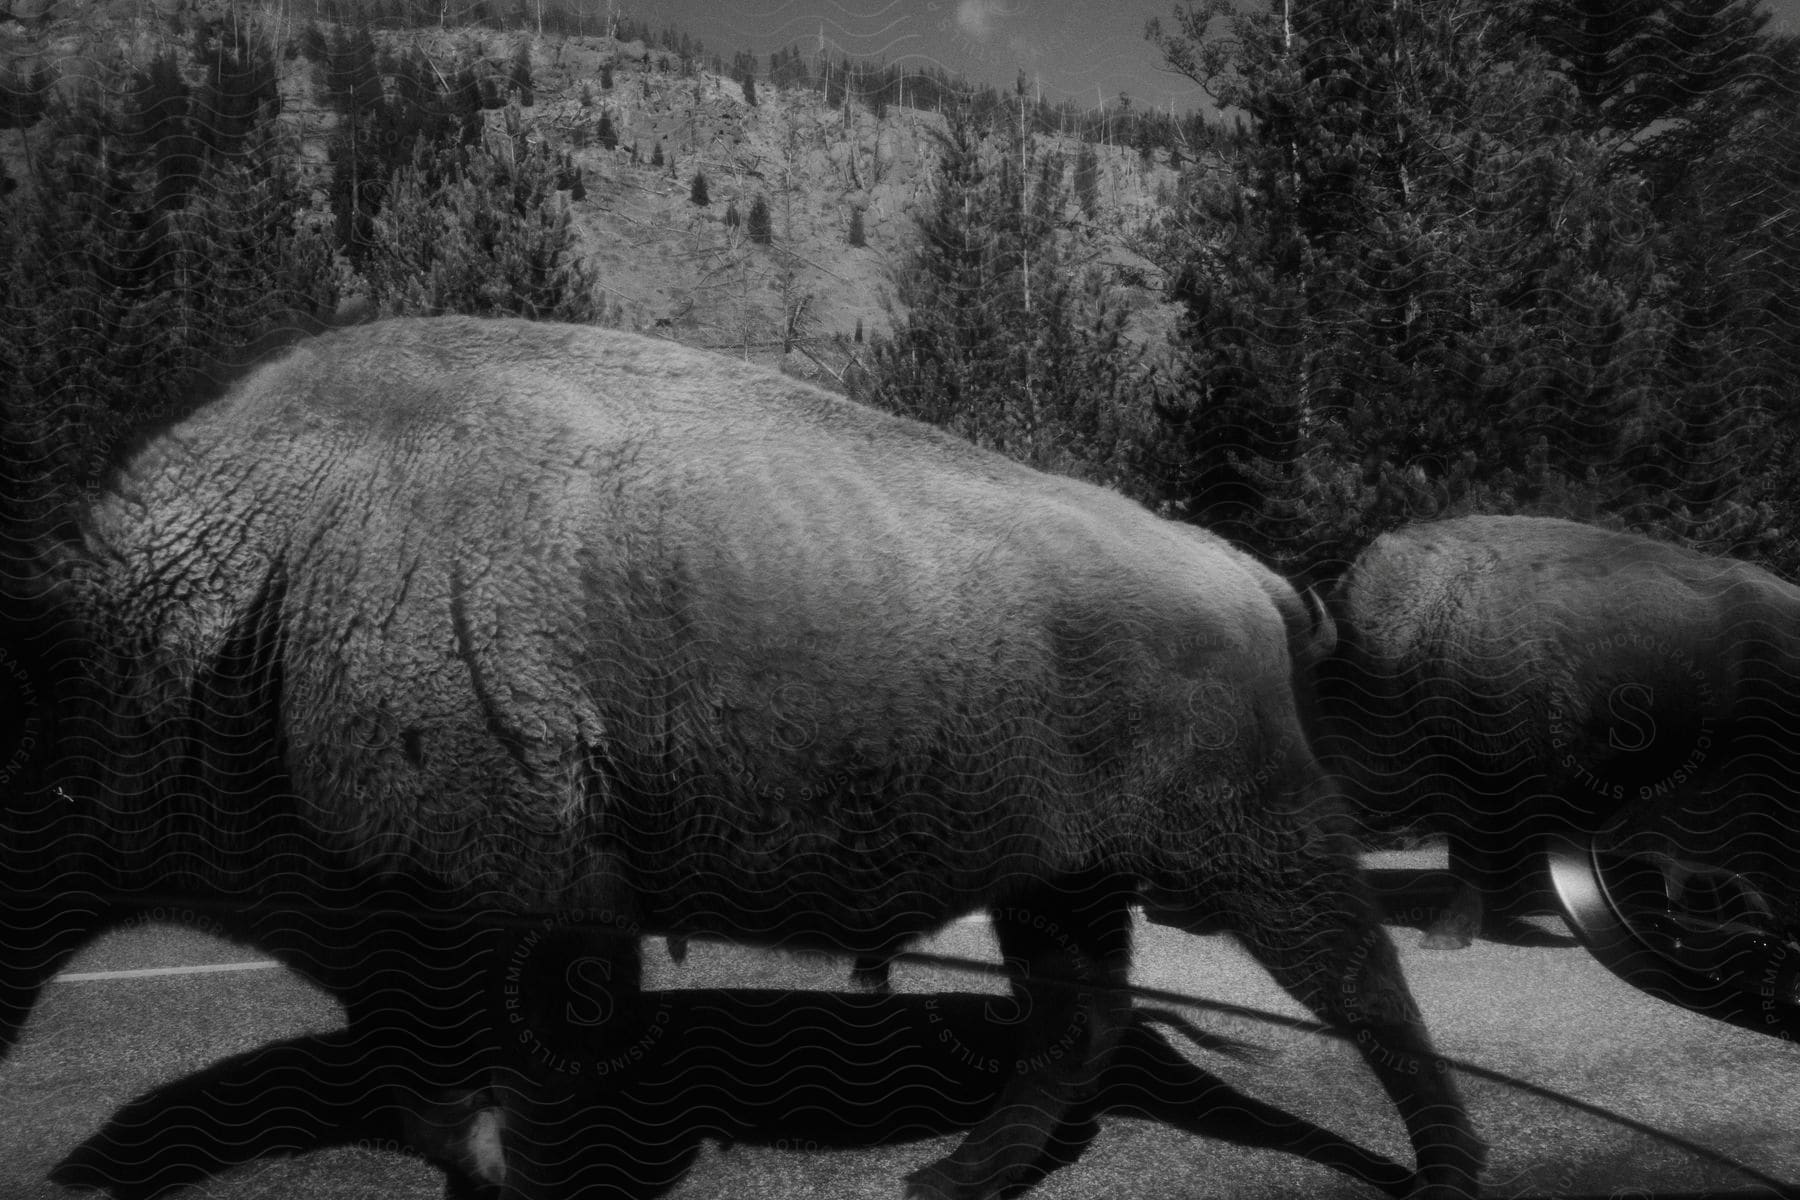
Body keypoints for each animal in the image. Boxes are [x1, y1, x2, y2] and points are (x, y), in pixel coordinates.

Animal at [0, 318, 1483, 1200]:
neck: (248, 586)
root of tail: (1234, 567)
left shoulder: (536, 914)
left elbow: (527, 1083)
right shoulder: (399, 952)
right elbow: (433, 1092)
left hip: (1254, 845)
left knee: (1362, 987)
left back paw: (1452, 1167)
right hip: (1056, 884)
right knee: (1080, 1025)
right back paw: (947, 1179)